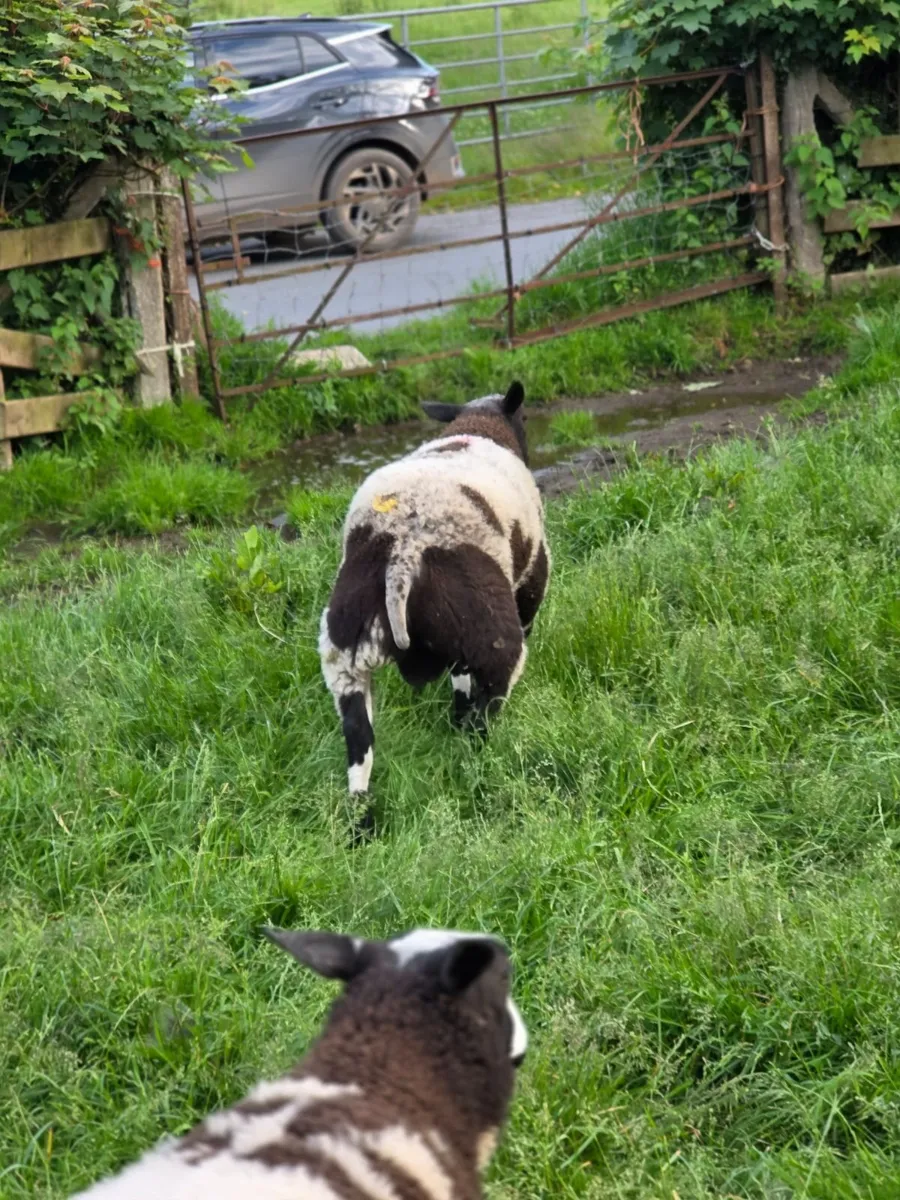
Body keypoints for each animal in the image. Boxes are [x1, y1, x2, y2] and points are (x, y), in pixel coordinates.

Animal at [319, 381, 550, 804]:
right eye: (525, 417)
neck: (479, 427)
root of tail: (401, 556)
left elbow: (459, 679)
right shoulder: (531, 581)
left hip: (343, 653)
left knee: (359, 745)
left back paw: (360, 817)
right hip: (493, 634)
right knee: (486, 711)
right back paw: (479, 762)